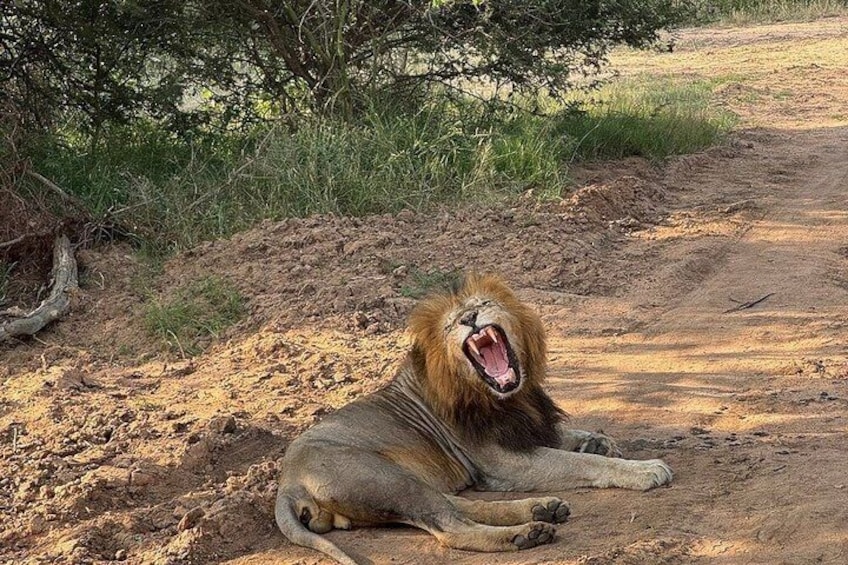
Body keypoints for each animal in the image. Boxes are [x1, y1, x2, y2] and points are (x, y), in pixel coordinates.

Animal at [276, 274, 672, 564]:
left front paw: (600, 441)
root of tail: (287, 483)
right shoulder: (504, 462)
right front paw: (644, 469)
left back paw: (543, 509)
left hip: (403, 483)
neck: (508, 398)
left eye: (483, 304)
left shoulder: (524, 428)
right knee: (452, 527)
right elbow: (577, 462)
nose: (469, 319)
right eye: (453, 323)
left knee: (461, 505)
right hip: (386, 479)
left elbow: (567, 436)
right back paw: (528, 533)